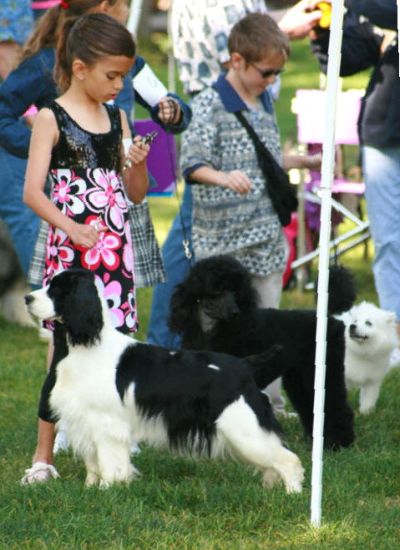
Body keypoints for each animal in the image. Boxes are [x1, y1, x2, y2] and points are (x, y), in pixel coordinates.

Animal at [25, 270, 304, 494]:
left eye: (57, 290)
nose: (27, 298)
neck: (86, 346)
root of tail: (245, 365)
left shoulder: (107, 423)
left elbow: (110, 462)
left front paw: (108, 489)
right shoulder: (84, 419)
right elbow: (93, 463)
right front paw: (90, 489)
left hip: (244, 428)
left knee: (288, 459)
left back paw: (292, 494)